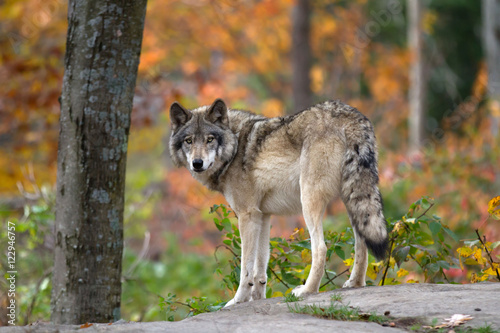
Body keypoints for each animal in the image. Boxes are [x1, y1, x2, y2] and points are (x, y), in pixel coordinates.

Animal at [170, 98, 388, 306]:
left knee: (320, 248)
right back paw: (355, 283)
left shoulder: (247, 215)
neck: (235, 147)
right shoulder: (263, 216)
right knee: (362, 243)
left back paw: (307, 290)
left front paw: (238, 300)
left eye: (210, 139)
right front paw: (257, 298)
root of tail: (351, 116)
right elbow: (260, 267)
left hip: (309, 199)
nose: (197, 163)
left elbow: (246, 269)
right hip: (353, 199)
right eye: (189, 141)